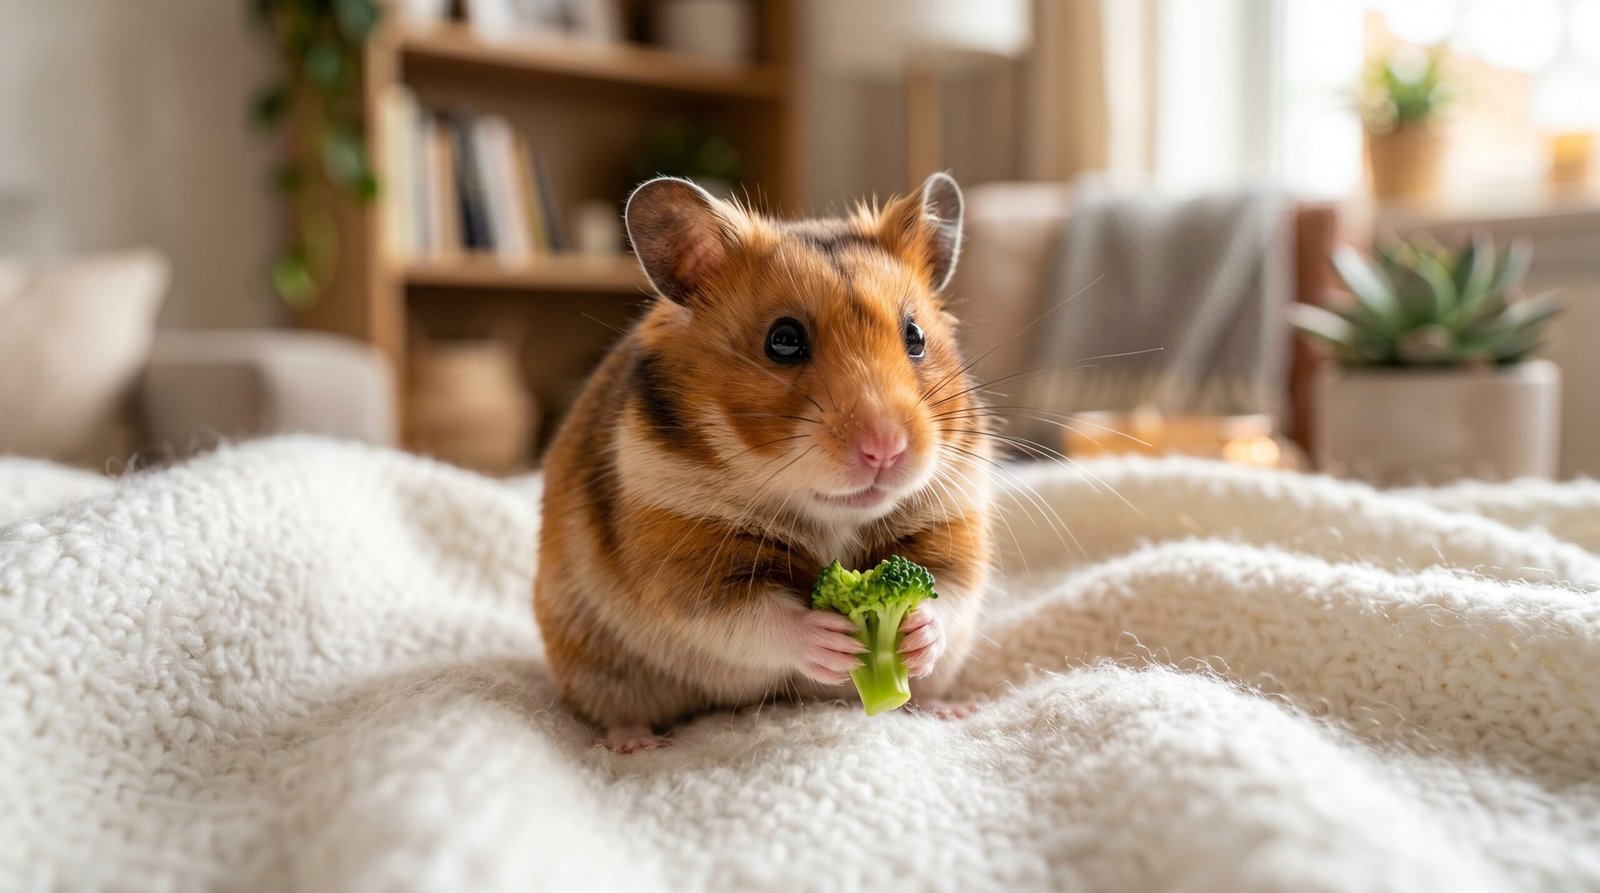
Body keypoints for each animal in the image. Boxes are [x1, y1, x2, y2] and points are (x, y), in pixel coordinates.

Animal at [534, 173, 993, 752]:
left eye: (916, 337)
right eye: (784, 340)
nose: (885, 448)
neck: (831, 515)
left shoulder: (952, 518)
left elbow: (947, 593)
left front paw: (915, 634)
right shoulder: (682, 551)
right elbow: (755, 618)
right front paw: (835, 640)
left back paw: (950, 709)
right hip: (595, 663)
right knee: (620, 708)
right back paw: (636, 743)